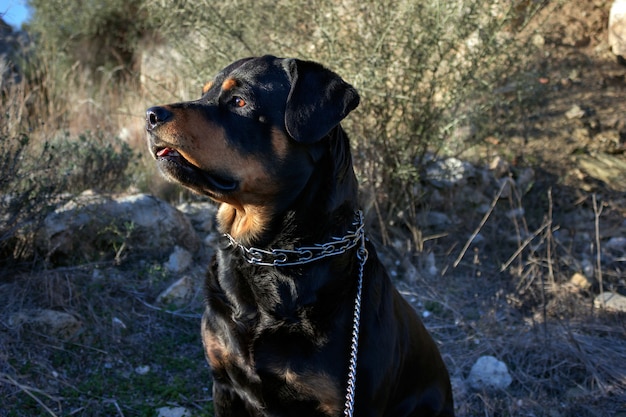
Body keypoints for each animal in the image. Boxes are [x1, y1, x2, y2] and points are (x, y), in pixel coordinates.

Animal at [144, 55, 450, 416]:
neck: (270, 255)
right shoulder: (224, 384)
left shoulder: (348, 403)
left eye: (239, 101)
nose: (150, 114)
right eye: (204, 93)